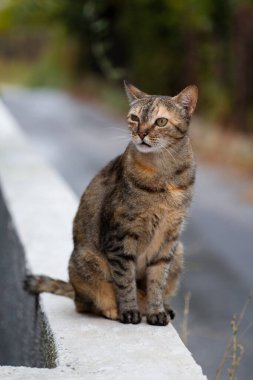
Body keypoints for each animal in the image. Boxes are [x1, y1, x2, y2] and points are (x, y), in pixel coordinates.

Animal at [26, 81, 199, 326]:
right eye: (135, 118)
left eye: (161, 121)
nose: (141, 133)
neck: (164, 173)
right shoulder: (120, 237)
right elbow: (125, 281)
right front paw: (129, 311)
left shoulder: (169, 240)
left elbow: (157, 282)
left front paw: (156, 311)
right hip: (86, 261)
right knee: (86, 303)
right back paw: (114, 310)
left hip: (179, 252)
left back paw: (160, 308)